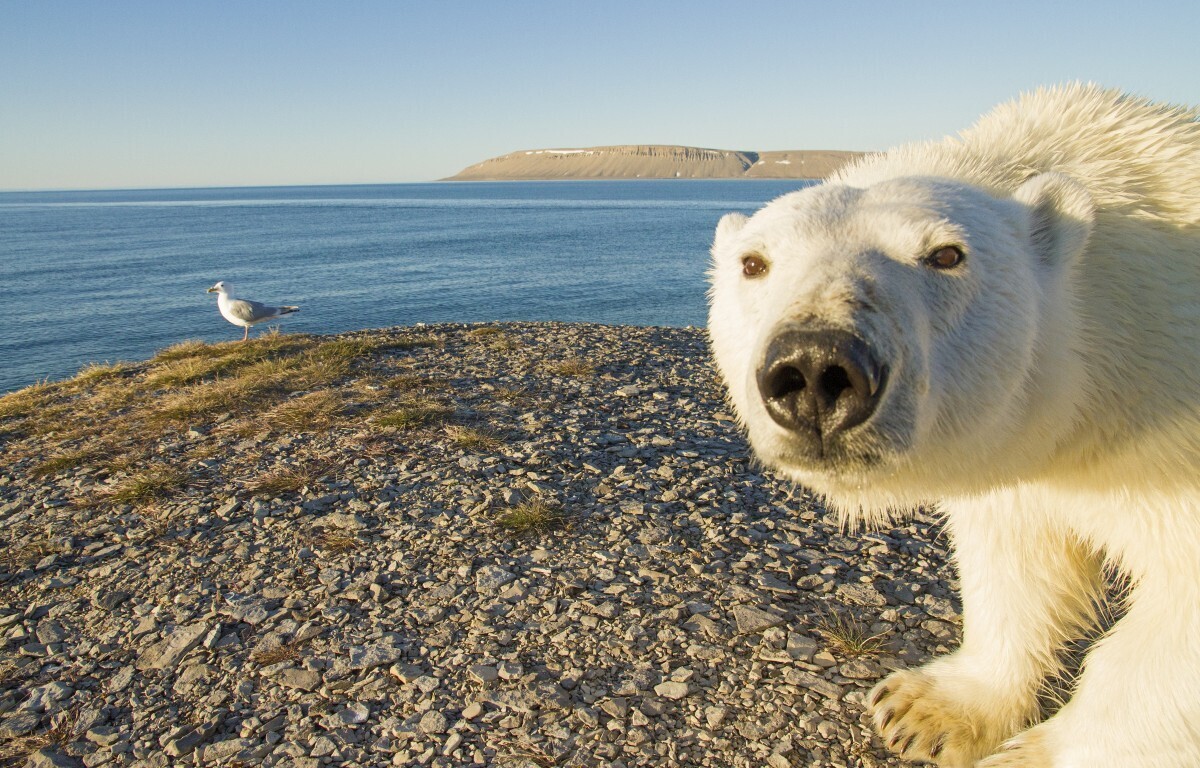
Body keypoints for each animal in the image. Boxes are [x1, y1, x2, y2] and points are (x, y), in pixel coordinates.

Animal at [705, 85, 1200, 768]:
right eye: (754, 263)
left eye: (946, 255)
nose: (814, 367)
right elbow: (1016, 556)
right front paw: (925, 708)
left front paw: (1032, 754)